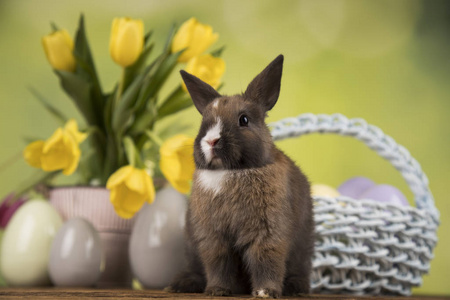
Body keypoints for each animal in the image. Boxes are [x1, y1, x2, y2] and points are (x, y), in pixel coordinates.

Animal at [165, 54, 312, 298]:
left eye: (244, 120)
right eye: (203, 122)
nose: (211, 141)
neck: (231, 172)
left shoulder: (268, 233)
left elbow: (266, 260)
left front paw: (265, 292)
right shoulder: (213, 238)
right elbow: (218, 263)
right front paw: (216, 290)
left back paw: (295, 287)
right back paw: (180, 284)